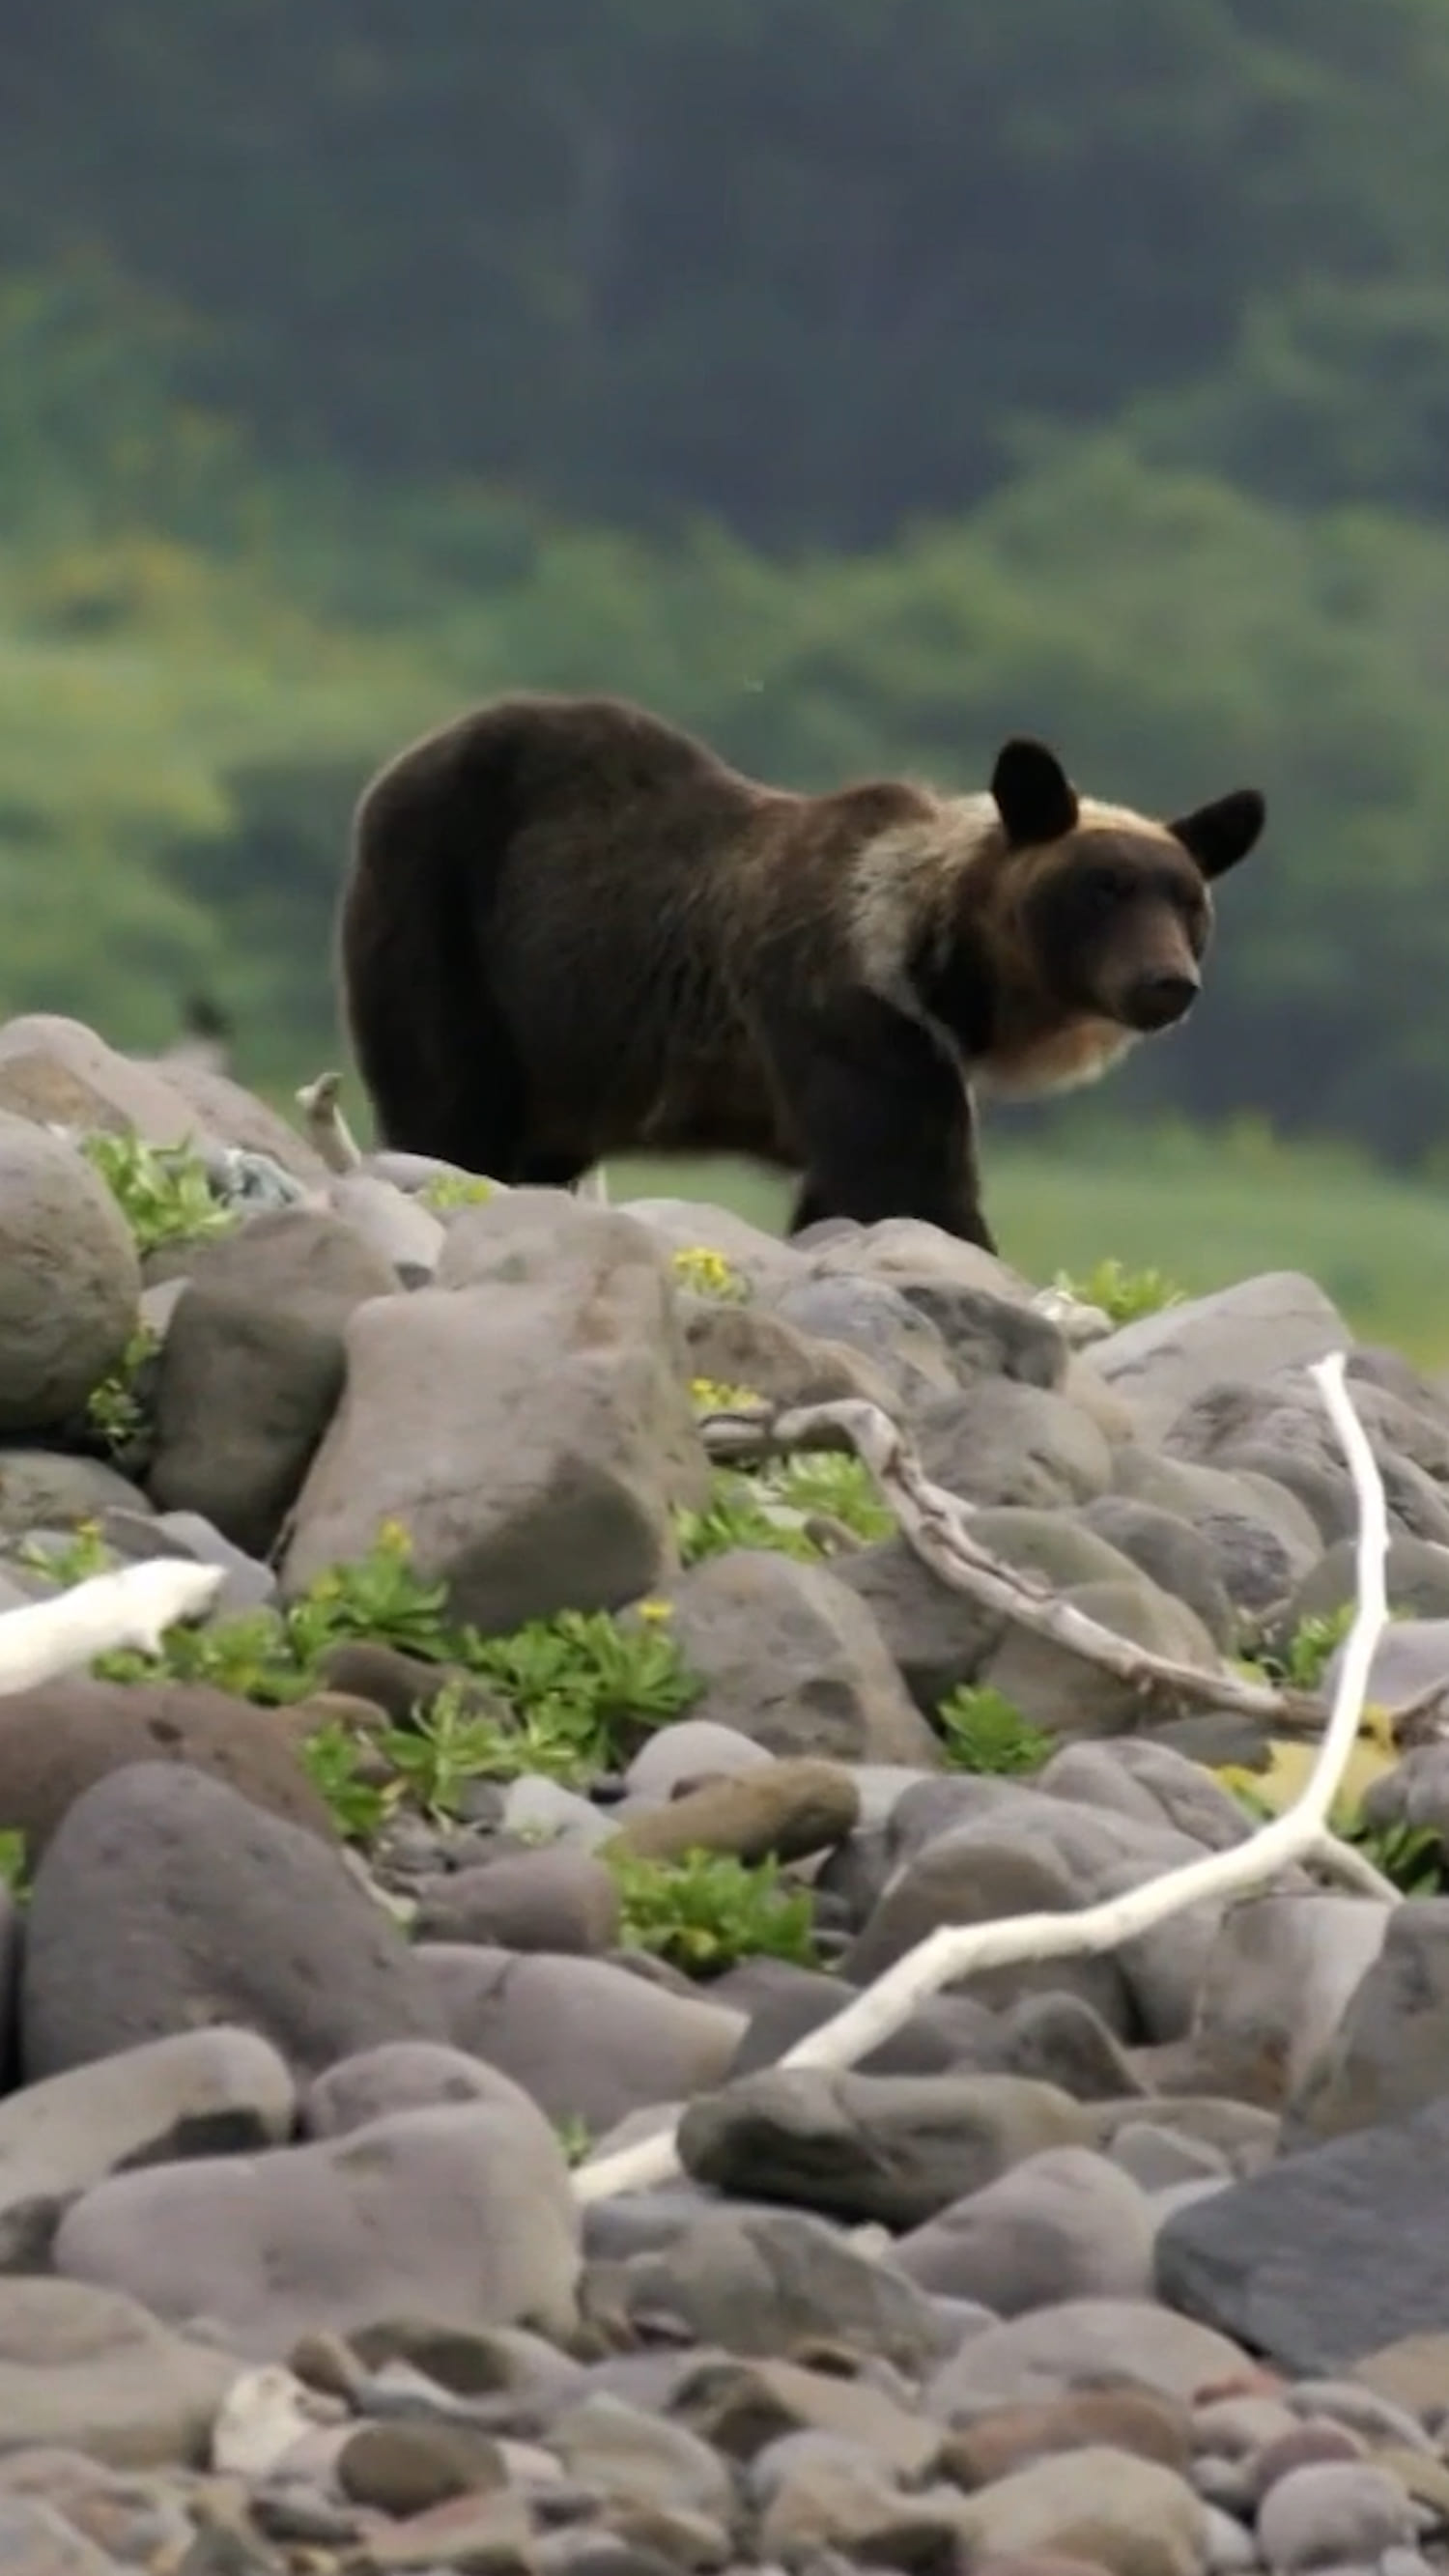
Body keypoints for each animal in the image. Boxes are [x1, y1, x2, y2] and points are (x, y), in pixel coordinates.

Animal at [335, 690, 1265, 1254]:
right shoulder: (848, 1014)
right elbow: (907, 1184)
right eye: (1101, 887)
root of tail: (401, 761)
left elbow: (855, 1194)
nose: (1164, 981)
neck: (943, 967)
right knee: (448, 1105)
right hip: (446, 923)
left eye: (1188, 900)